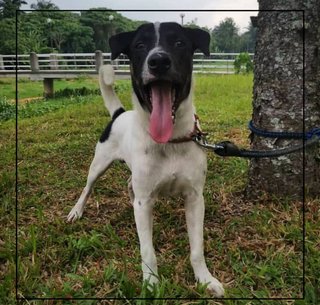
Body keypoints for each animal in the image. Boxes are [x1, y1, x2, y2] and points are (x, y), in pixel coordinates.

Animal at [68, 22, 225, 296]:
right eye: (139, 45)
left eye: (179, 43)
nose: (158, 61)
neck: (170, 141)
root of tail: (119, 114)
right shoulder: (145, 204)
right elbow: (147, 250)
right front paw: (151, 283)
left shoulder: (195, 198)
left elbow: (197, 248)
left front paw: (205, 279)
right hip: (99, 164)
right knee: (88, 188)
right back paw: (77, 210)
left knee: (129, 185)